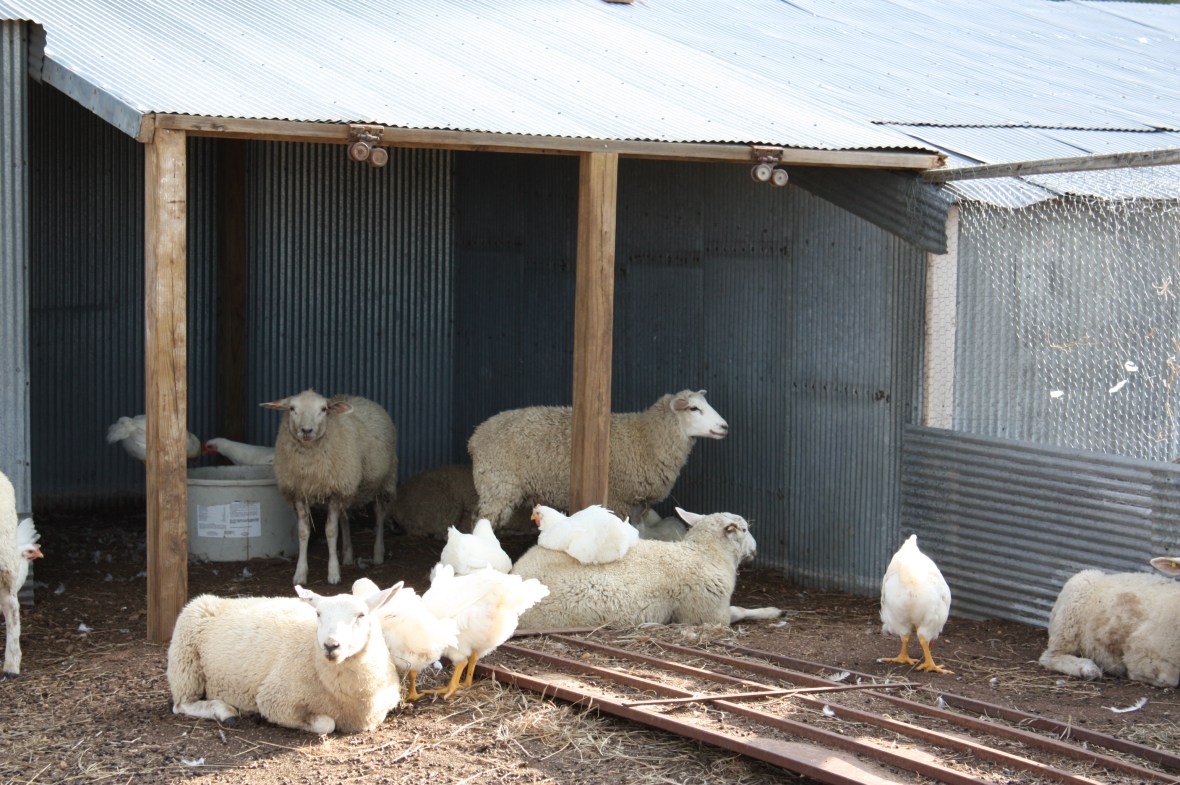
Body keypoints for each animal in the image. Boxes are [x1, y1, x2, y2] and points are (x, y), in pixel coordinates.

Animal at [167, 584, 402, 733]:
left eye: (361, 615)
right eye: (318, 614)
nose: (330, 645)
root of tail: (219, 600)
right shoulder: (274, 700)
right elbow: (327, 724)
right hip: (185, 664)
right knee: (181, 705)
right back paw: (224, 711)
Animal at [262, 390, 398, 585]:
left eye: (323, 409)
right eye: (292, 408)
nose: (306, 431)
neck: (310, 467)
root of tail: (360, 398)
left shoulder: (335, 491)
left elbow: (331, 531)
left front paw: (333, 573)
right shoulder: (299, 492)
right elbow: (303, 532)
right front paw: (300, 573)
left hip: (384, 482)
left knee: (379, 515)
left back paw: (378, 554)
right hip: (348, 488)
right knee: (345, 517)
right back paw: (347, 555)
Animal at [468, 390, 728, 529]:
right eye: (694, 409)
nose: (725, 426)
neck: (647, 437)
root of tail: (476, 435)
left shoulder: (635, 501)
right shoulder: (617, 498)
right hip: (498, 486)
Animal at [510, 507, 781, 628]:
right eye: (744, 529)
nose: (756, 549)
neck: (705, 555)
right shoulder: (708, 613)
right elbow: (740, 611)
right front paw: (772, 611)